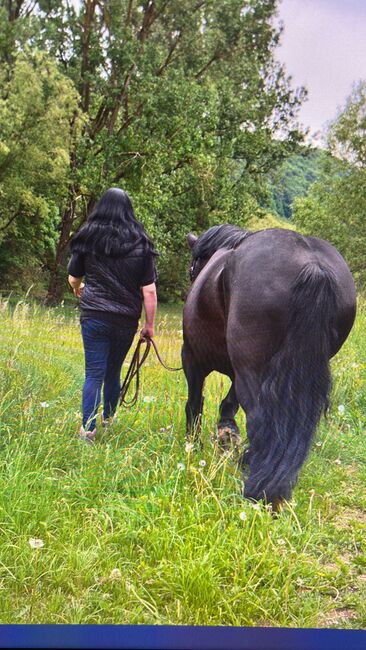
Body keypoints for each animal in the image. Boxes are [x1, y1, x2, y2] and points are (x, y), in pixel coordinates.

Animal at [182, 225, 356, 504]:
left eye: (192, 268)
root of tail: (312, 265)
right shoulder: (236, 372)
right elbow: (228, 404)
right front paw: (226, 436)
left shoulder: (192, 359)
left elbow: (195, 404)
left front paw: (193, 445)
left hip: (250, 373)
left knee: (259, 421)